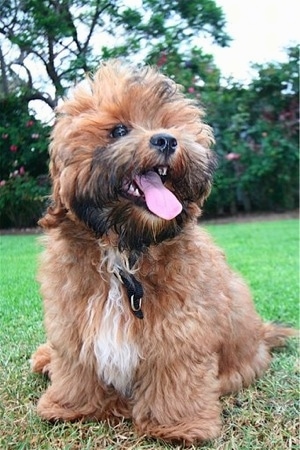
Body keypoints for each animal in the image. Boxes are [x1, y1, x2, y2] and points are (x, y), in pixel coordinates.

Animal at [31, 59, 296, 442]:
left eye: (170, 126)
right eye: (119, 130)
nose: (167, 140)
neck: (126, 250)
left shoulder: (180, 329)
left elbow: (174, 371)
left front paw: (177, 424)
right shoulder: (73, 320)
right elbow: (75, 362)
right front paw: (71, 405)